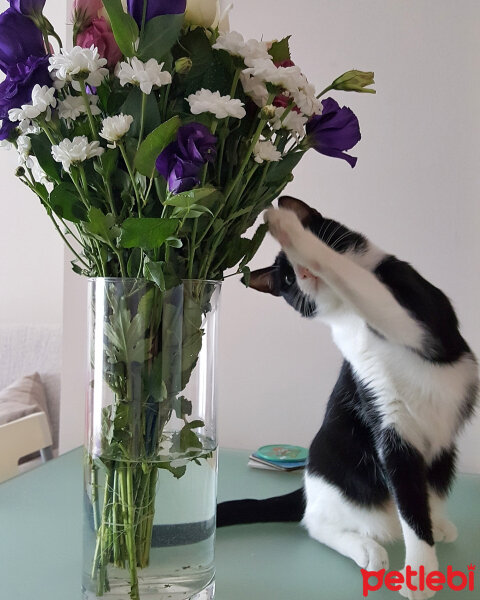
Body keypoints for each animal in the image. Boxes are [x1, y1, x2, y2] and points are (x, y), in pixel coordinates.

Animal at [217, 197, 476, 600]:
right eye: (287, 281)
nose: (303, 272)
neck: (349, 316)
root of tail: (307, 483)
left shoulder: (419, 319)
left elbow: (353, 276)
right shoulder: (389, 422)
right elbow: (409, 504)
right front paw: (421, 570)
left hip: (439, 463)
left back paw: (439, 524)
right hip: (332, 458)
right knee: (315, 523)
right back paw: (366, 548)